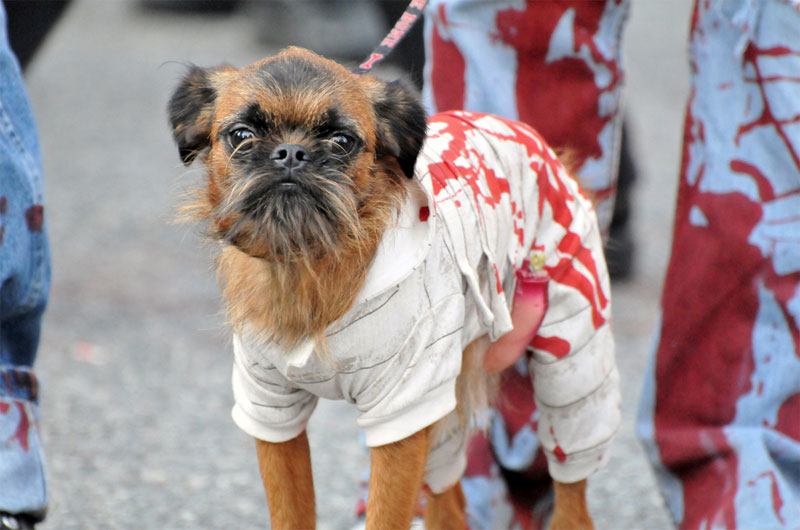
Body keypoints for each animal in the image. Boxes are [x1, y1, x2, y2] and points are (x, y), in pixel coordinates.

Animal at [167, 46, 620, 528]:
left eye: (342, 141)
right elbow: (291, 512)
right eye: (241, 135)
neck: (307, 259)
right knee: (447, 497)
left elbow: (385, 513)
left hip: (570, 367)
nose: (291, 153)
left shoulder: (401, 415)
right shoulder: (272, 411)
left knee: (573, 487)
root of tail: (533, 141)